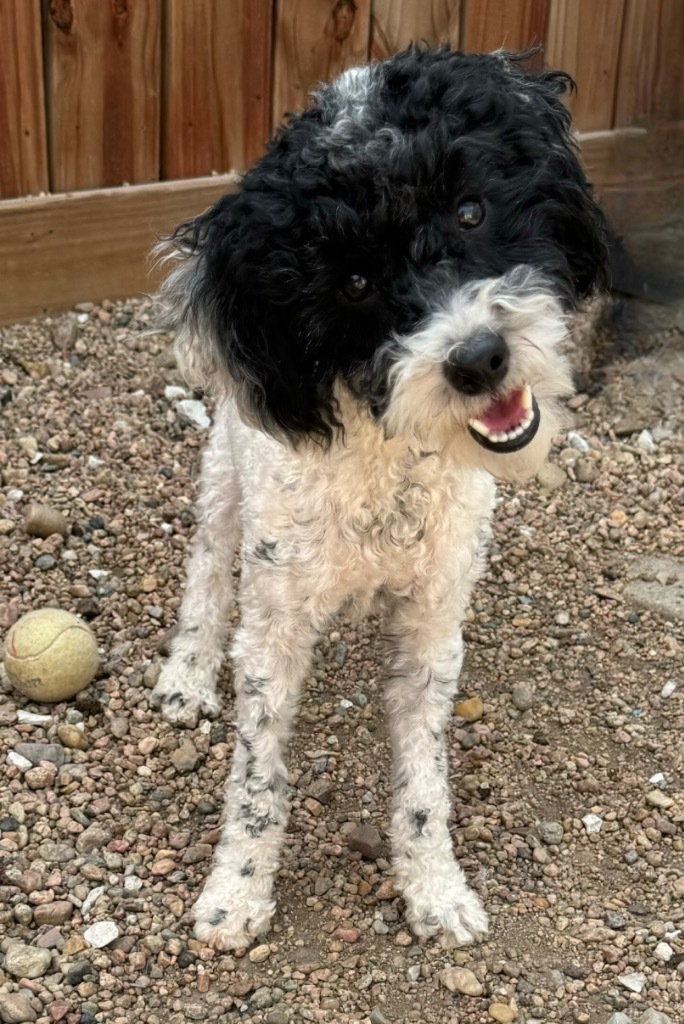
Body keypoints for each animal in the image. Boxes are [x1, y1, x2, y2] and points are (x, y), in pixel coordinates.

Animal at [152, 44, 606, 946]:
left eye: (470, 210)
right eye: (354, 282)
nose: (478, 358)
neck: (388, 461)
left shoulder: (433, 622)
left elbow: (424, 783)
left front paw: (434, 888)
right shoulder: (273, 631)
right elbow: (257, 780)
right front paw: (236, 894)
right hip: (224, 476)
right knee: (206, 573)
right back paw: (186, 674)